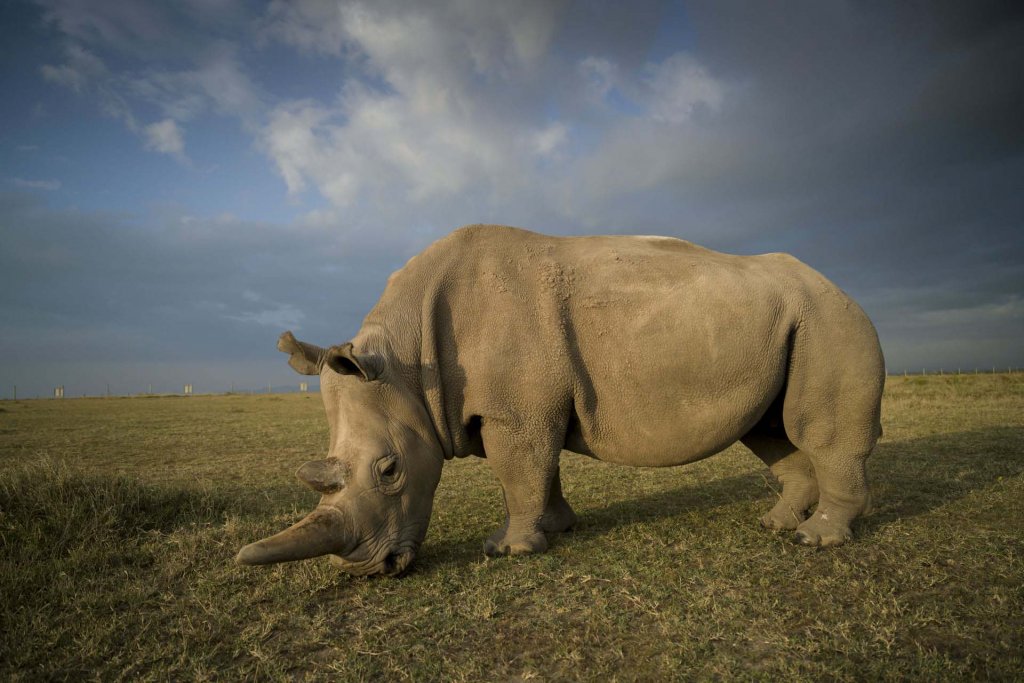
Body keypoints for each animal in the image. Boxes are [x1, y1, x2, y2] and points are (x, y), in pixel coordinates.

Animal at [235, 225, 884, 577]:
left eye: (390, 470)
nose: (372, 569)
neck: (405, 363)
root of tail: (839, 286)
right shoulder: (526, 407)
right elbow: (540, 472)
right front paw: (557, 528)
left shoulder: (514, 411)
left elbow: (518, 471)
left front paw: (508, 550)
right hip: (786, 321)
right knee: (770, 431)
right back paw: (776, 524)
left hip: (828, 318)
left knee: (814, 429)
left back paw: (817, 539)